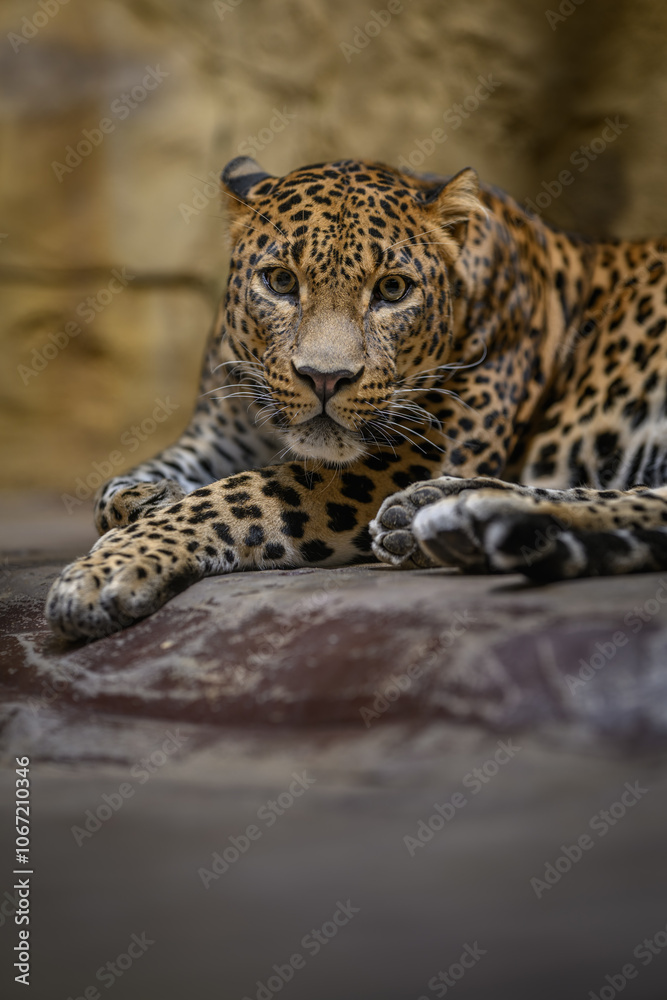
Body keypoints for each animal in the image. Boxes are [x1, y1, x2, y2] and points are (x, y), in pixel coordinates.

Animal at [46, 155, 667, 641]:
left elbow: (232, 497)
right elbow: (114, 488)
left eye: (392, 289)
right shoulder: (217, 432)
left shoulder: (407, 457)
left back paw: (461, 517)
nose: (325, 378)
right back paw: (447, 517)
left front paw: (105, 572)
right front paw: (147, 497)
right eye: (280, 281)